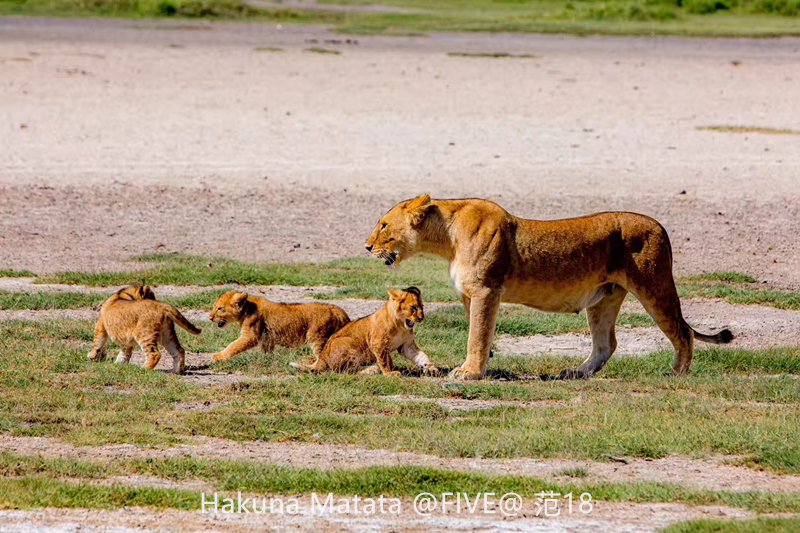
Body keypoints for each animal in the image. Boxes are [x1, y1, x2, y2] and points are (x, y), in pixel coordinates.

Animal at [366, 193, 736, 380]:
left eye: (383, 225)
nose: (368, 247)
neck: (446, 238)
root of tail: (661, 226)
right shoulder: (471, 295)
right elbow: (478, 333)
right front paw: (479, 366)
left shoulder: (486, 291)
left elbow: (477, 334)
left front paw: (469, 373)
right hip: (603, 300)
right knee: (606, 344)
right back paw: (576, 373)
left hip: (654, 285)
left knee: (683, 332)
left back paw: (677, 374)